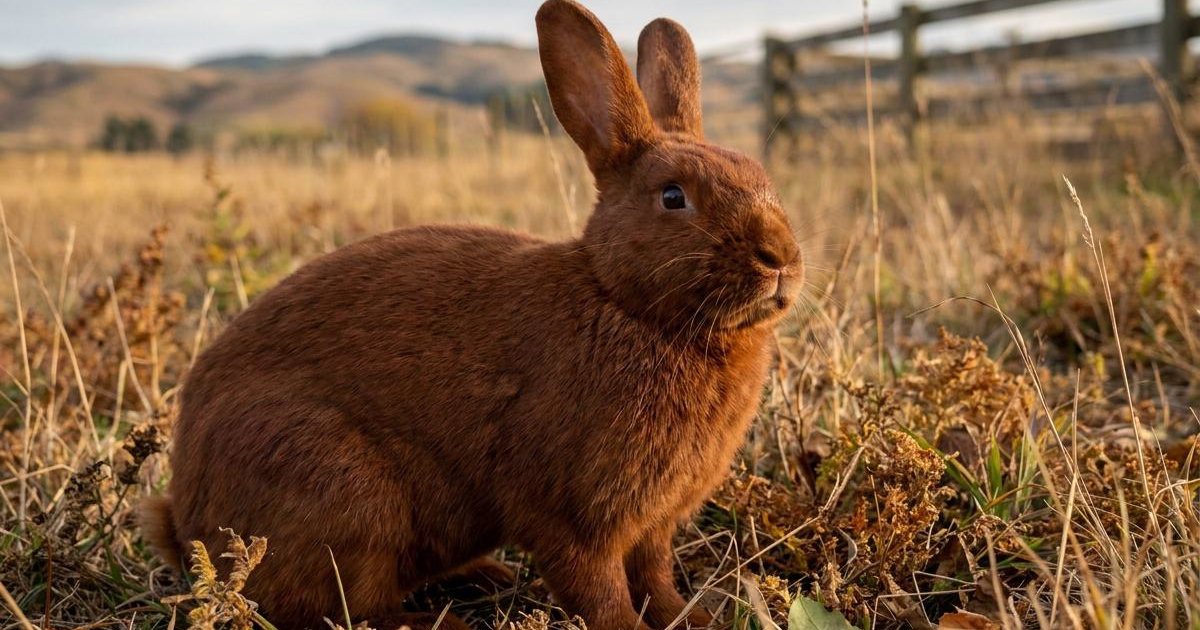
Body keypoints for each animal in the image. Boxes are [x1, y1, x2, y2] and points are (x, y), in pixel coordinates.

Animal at [139, 1, 802, 630]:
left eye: (762, 177)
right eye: (672, 196)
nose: (781, 258)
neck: (626, 303)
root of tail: (188, 523)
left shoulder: (653, 525)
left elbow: (656, 578)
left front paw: (694, 618)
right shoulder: (572, 516)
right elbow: (598, 589)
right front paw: (631, 628)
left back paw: (486, 577)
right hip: (345, 494)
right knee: (338, 605)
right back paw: (433, 619)